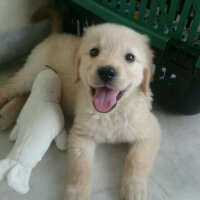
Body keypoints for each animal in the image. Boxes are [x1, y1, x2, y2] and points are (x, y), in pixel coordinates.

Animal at [0, 22, 160, 199]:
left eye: (130, 57)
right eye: (94, 52)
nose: (106, 72)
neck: (111, 114)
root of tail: (55, 34)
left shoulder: (149, 130)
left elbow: (136, 159)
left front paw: (134, 189)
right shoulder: (80, 135)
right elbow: (81, 167)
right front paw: (77, 194)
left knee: (26, 95)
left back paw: (5, 115)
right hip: (30, 73)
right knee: (9, 88)